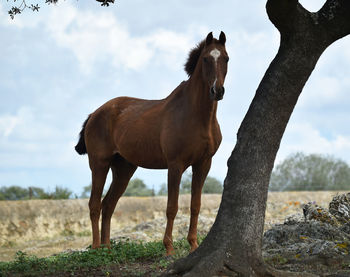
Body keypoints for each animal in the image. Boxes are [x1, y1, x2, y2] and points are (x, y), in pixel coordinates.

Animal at [75, 31, 228, 253]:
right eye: (207, 59)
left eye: (226, 58)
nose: (217, 91)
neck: (195, 116)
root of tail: (95, 113)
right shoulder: (175, 165)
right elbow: (172, 207)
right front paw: (169, 248)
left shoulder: (203, 164)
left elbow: (195, 205)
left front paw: (193, 244)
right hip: (99, 164)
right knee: (94, 204)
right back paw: (96, 248)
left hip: (124, 169)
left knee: (108, 204)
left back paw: (107, 248)